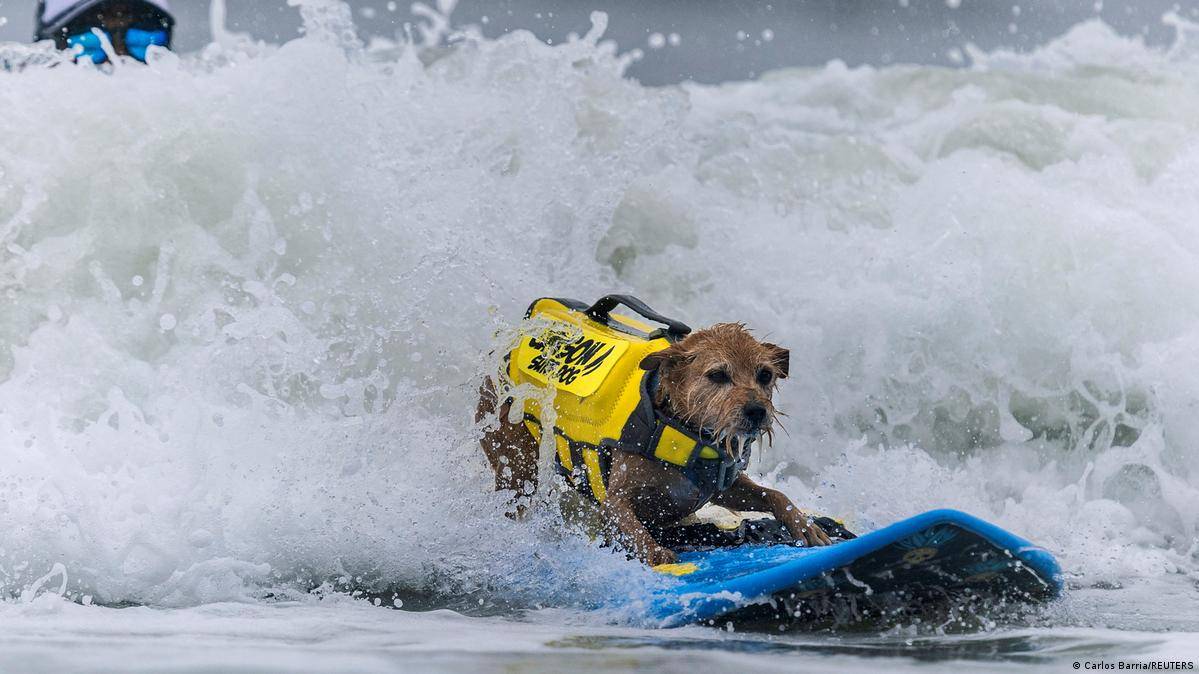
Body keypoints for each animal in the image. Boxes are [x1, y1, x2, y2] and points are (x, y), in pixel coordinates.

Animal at [472, 311, 829, 563]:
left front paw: (806, 526)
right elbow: (630, 525)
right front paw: (656, 553)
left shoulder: (720, 487)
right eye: (717, 375)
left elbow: (774, 494)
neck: (681, 432)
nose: (757, 410)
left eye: (765, 375)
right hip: (515, 463)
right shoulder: (615, 500)